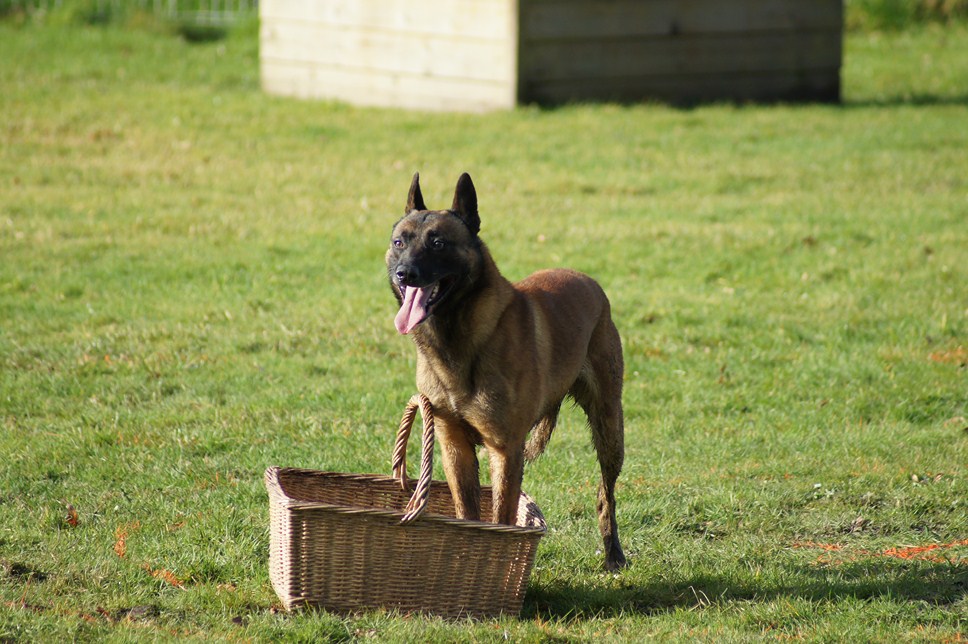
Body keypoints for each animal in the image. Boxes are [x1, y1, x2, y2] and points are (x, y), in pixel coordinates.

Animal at [386, 174, 628, 572]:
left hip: (609, 426)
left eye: (438, 242)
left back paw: (614, 554)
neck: (457, 340)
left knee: (605, 494)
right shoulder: (455, 446)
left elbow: (500, 517)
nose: (404, 273)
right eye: (399, 242)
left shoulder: (504, 450)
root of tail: (588, 280)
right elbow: (466, 512)